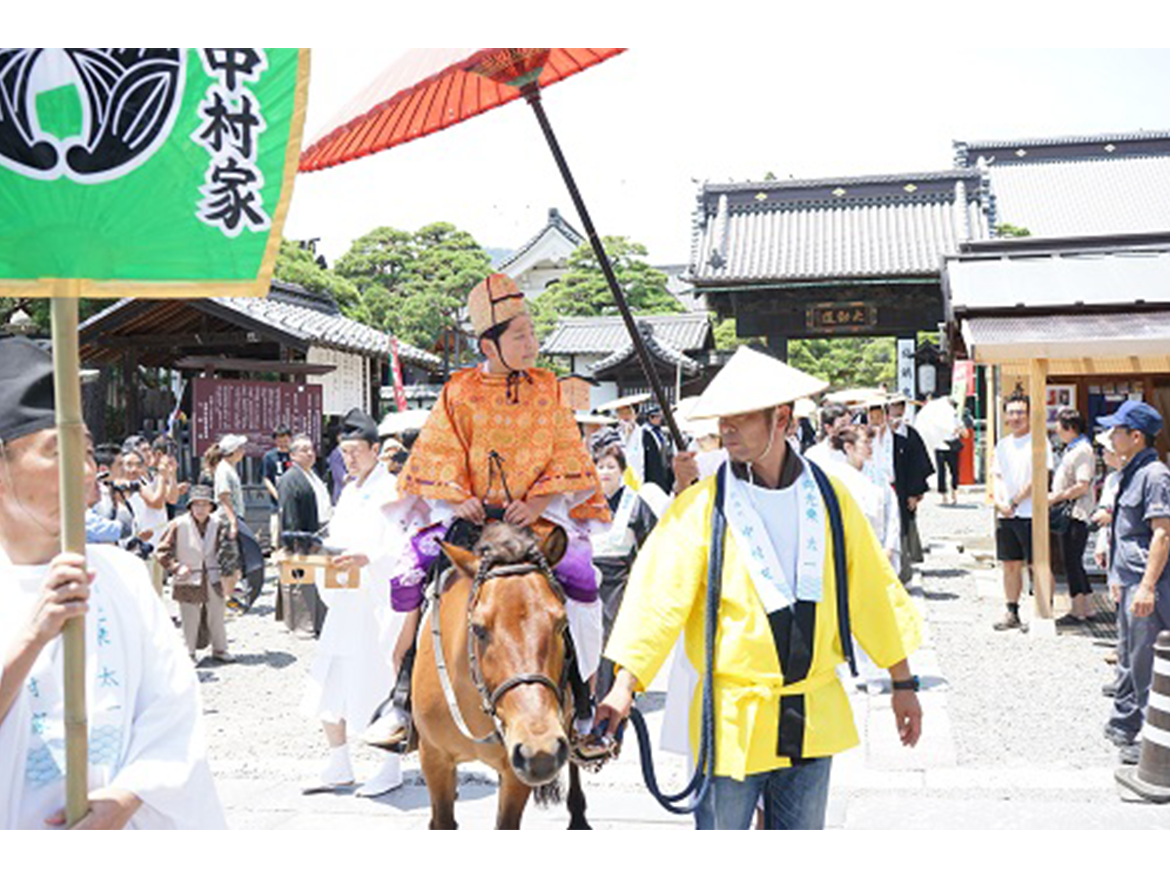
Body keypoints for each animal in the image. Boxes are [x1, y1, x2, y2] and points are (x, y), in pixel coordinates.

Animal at [416, 522, 589, 833]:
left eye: (561, 623)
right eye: (479, 629)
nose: (541, 751)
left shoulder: (515, 771)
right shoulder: (434, 758)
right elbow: (442, 820)